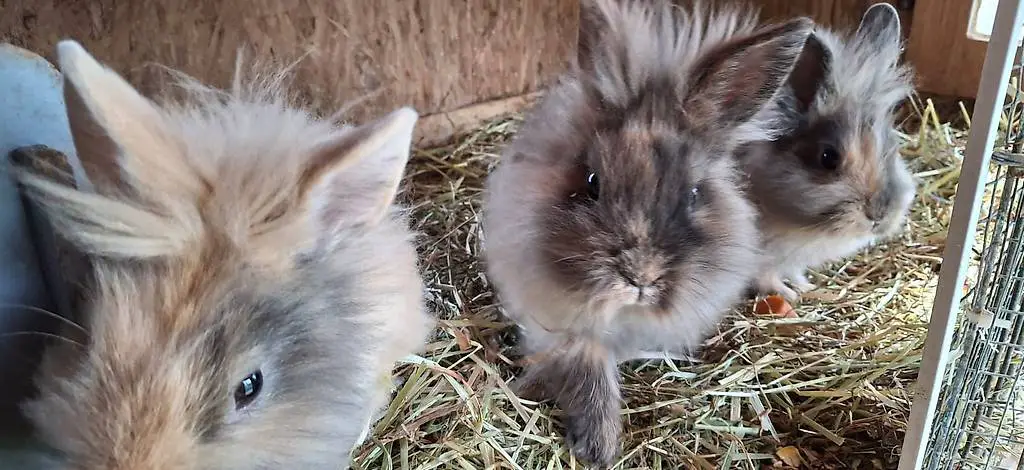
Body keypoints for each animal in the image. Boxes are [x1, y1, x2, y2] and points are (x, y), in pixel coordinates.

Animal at [739, 2, 917, 301]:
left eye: (892, 147)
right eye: (828, 158)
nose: (879, 215)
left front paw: (805, 286)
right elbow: (768, 277)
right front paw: (790, 296)